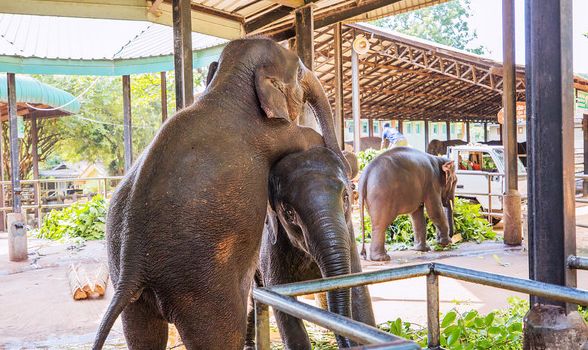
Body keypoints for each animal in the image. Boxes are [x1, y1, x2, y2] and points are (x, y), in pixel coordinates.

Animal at [92, 37, 350, 348]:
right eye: (300, 71)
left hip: (130, 286)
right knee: (223, 332)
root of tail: (133, 262)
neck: (226, 85)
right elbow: (304, 136)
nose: (347, 166)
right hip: (201, 289)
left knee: (142, 334)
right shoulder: (275, 133)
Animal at [245, 146, 374, 348]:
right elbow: (283, 307)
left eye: (346, 197)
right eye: (289, 213)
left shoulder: (350, 237)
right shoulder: (272, 246)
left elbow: (358, 290)